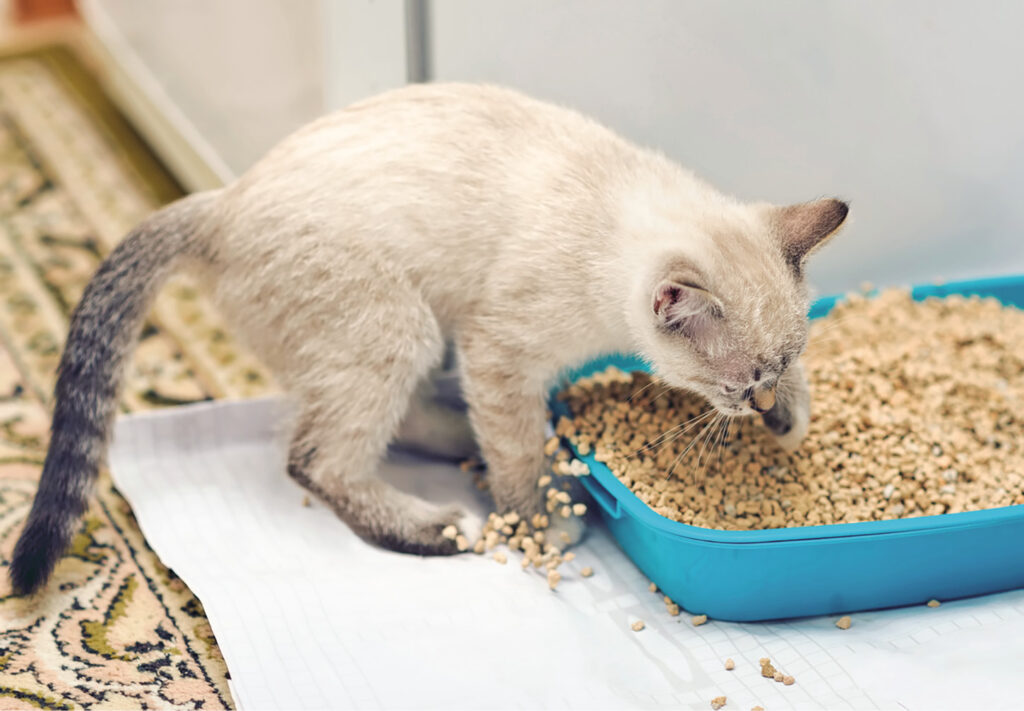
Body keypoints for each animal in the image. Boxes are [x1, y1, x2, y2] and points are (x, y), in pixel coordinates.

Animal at [9, 83, 847, 594]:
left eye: (779, 366)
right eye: (735, 384)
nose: (761, 405)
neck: (618, 212)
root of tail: (221, 201)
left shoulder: (487, 355)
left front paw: (794, 419)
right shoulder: (500, 352)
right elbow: (517, 452)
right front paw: (539, 520)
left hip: (400, 336)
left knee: (385, 422)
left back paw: (466, 445)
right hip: (399, 324)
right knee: (315, 458)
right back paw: (438, 522)